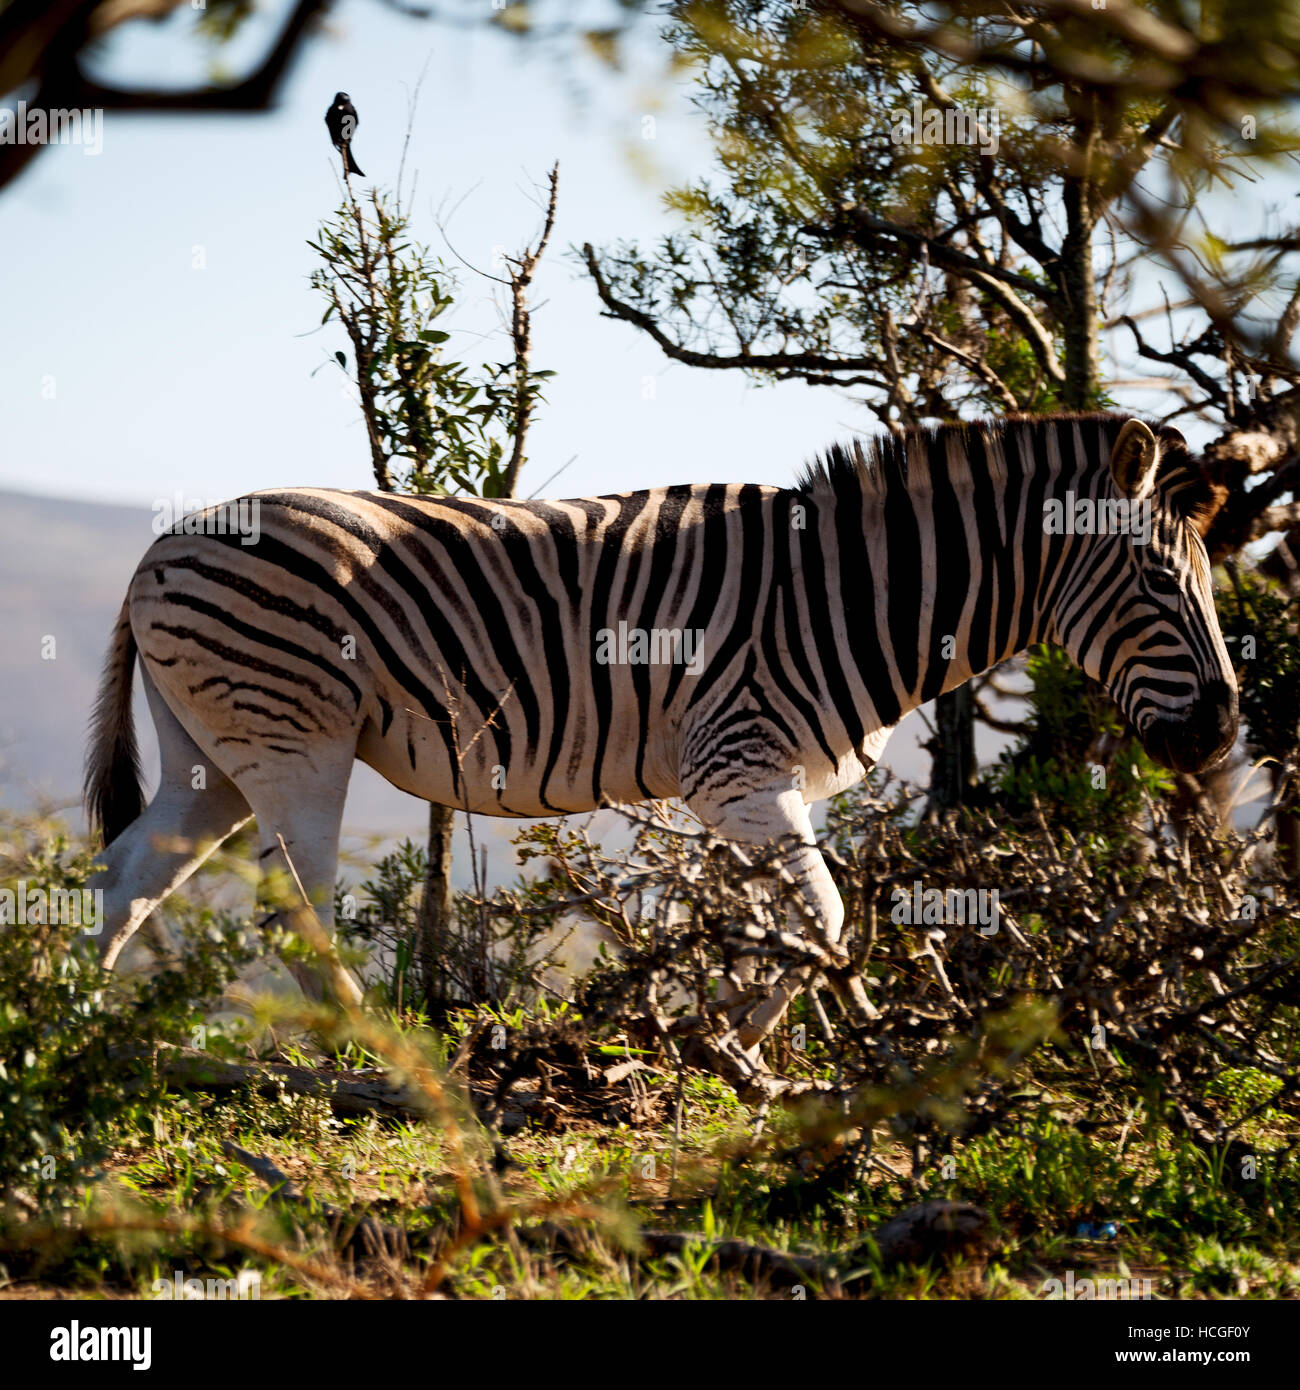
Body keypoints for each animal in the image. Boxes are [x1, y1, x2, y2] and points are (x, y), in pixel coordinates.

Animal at [84, 412, 1237, 1045]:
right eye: (1155, 578)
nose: (1223, 732)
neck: (849, 595)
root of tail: (156, 550)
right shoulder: (739, 768)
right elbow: (822, 918)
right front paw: (726, 1039)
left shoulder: (762, 784)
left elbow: (770, 923)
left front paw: (717, 1036)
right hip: (296, 742)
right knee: (294, 910)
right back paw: (374, 1051)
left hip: (211, 756)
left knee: (128, 873)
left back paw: (75, 1039)